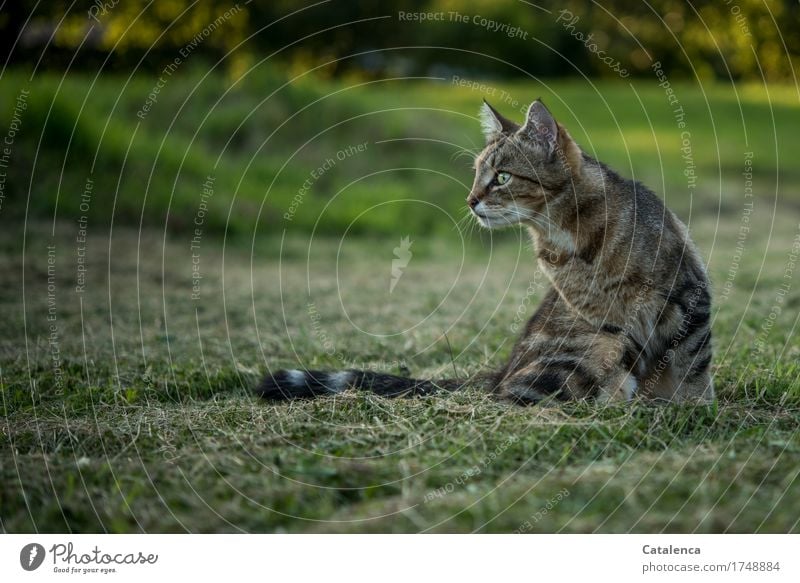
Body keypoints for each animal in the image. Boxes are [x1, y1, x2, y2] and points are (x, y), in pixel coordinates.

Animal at [256, 98, 712, 404]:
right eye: (477, 173)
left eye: (503, 177)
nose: (470, 199)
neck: (571, 240)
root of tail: (498, 371)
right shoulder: (609, 325)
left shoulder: (687, 297)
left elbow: (692, 366)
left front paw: (692, 409)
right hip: (592, 349)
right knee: (519, 395)